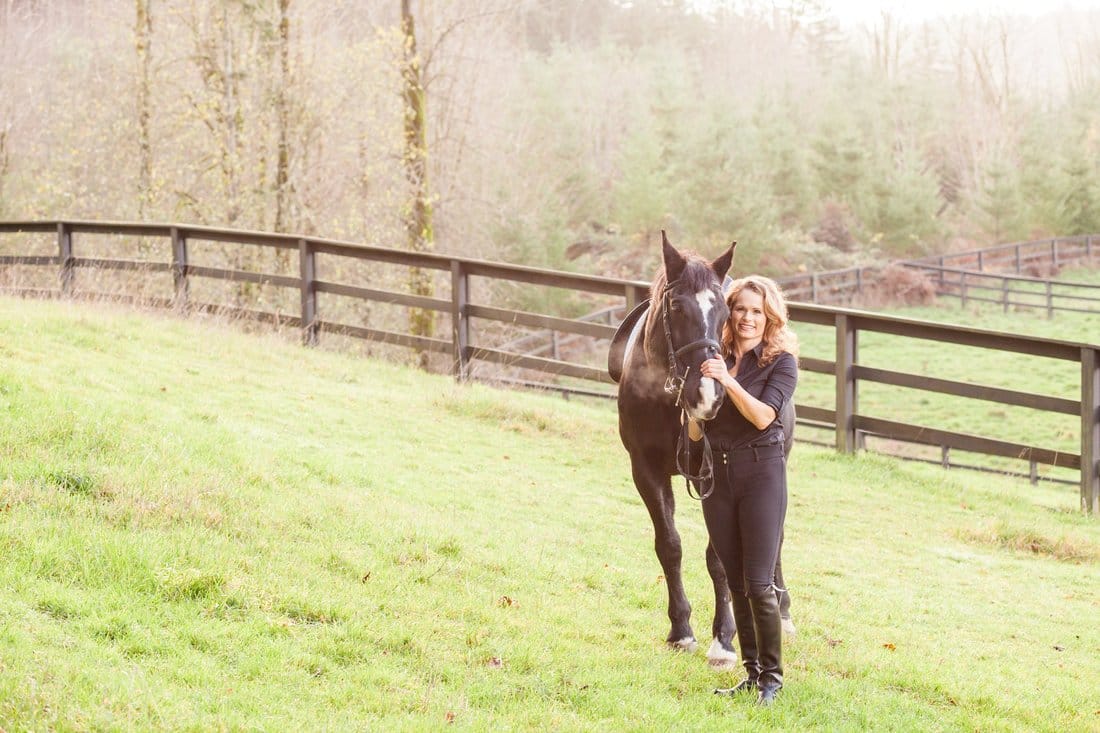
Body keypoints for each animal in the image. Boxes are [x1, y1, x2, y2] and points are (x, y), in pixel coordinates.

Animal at [607, 231, 796, 664]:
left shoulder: (718, 477)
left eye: (726, 311)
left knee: (774, 537)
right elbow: (669, 546)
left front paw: (724, 639)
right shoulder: (645, 470)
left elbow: (720, 560)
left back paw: (782, 610)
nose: (707, 395)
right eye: (676, 306)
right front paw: (681, 629)